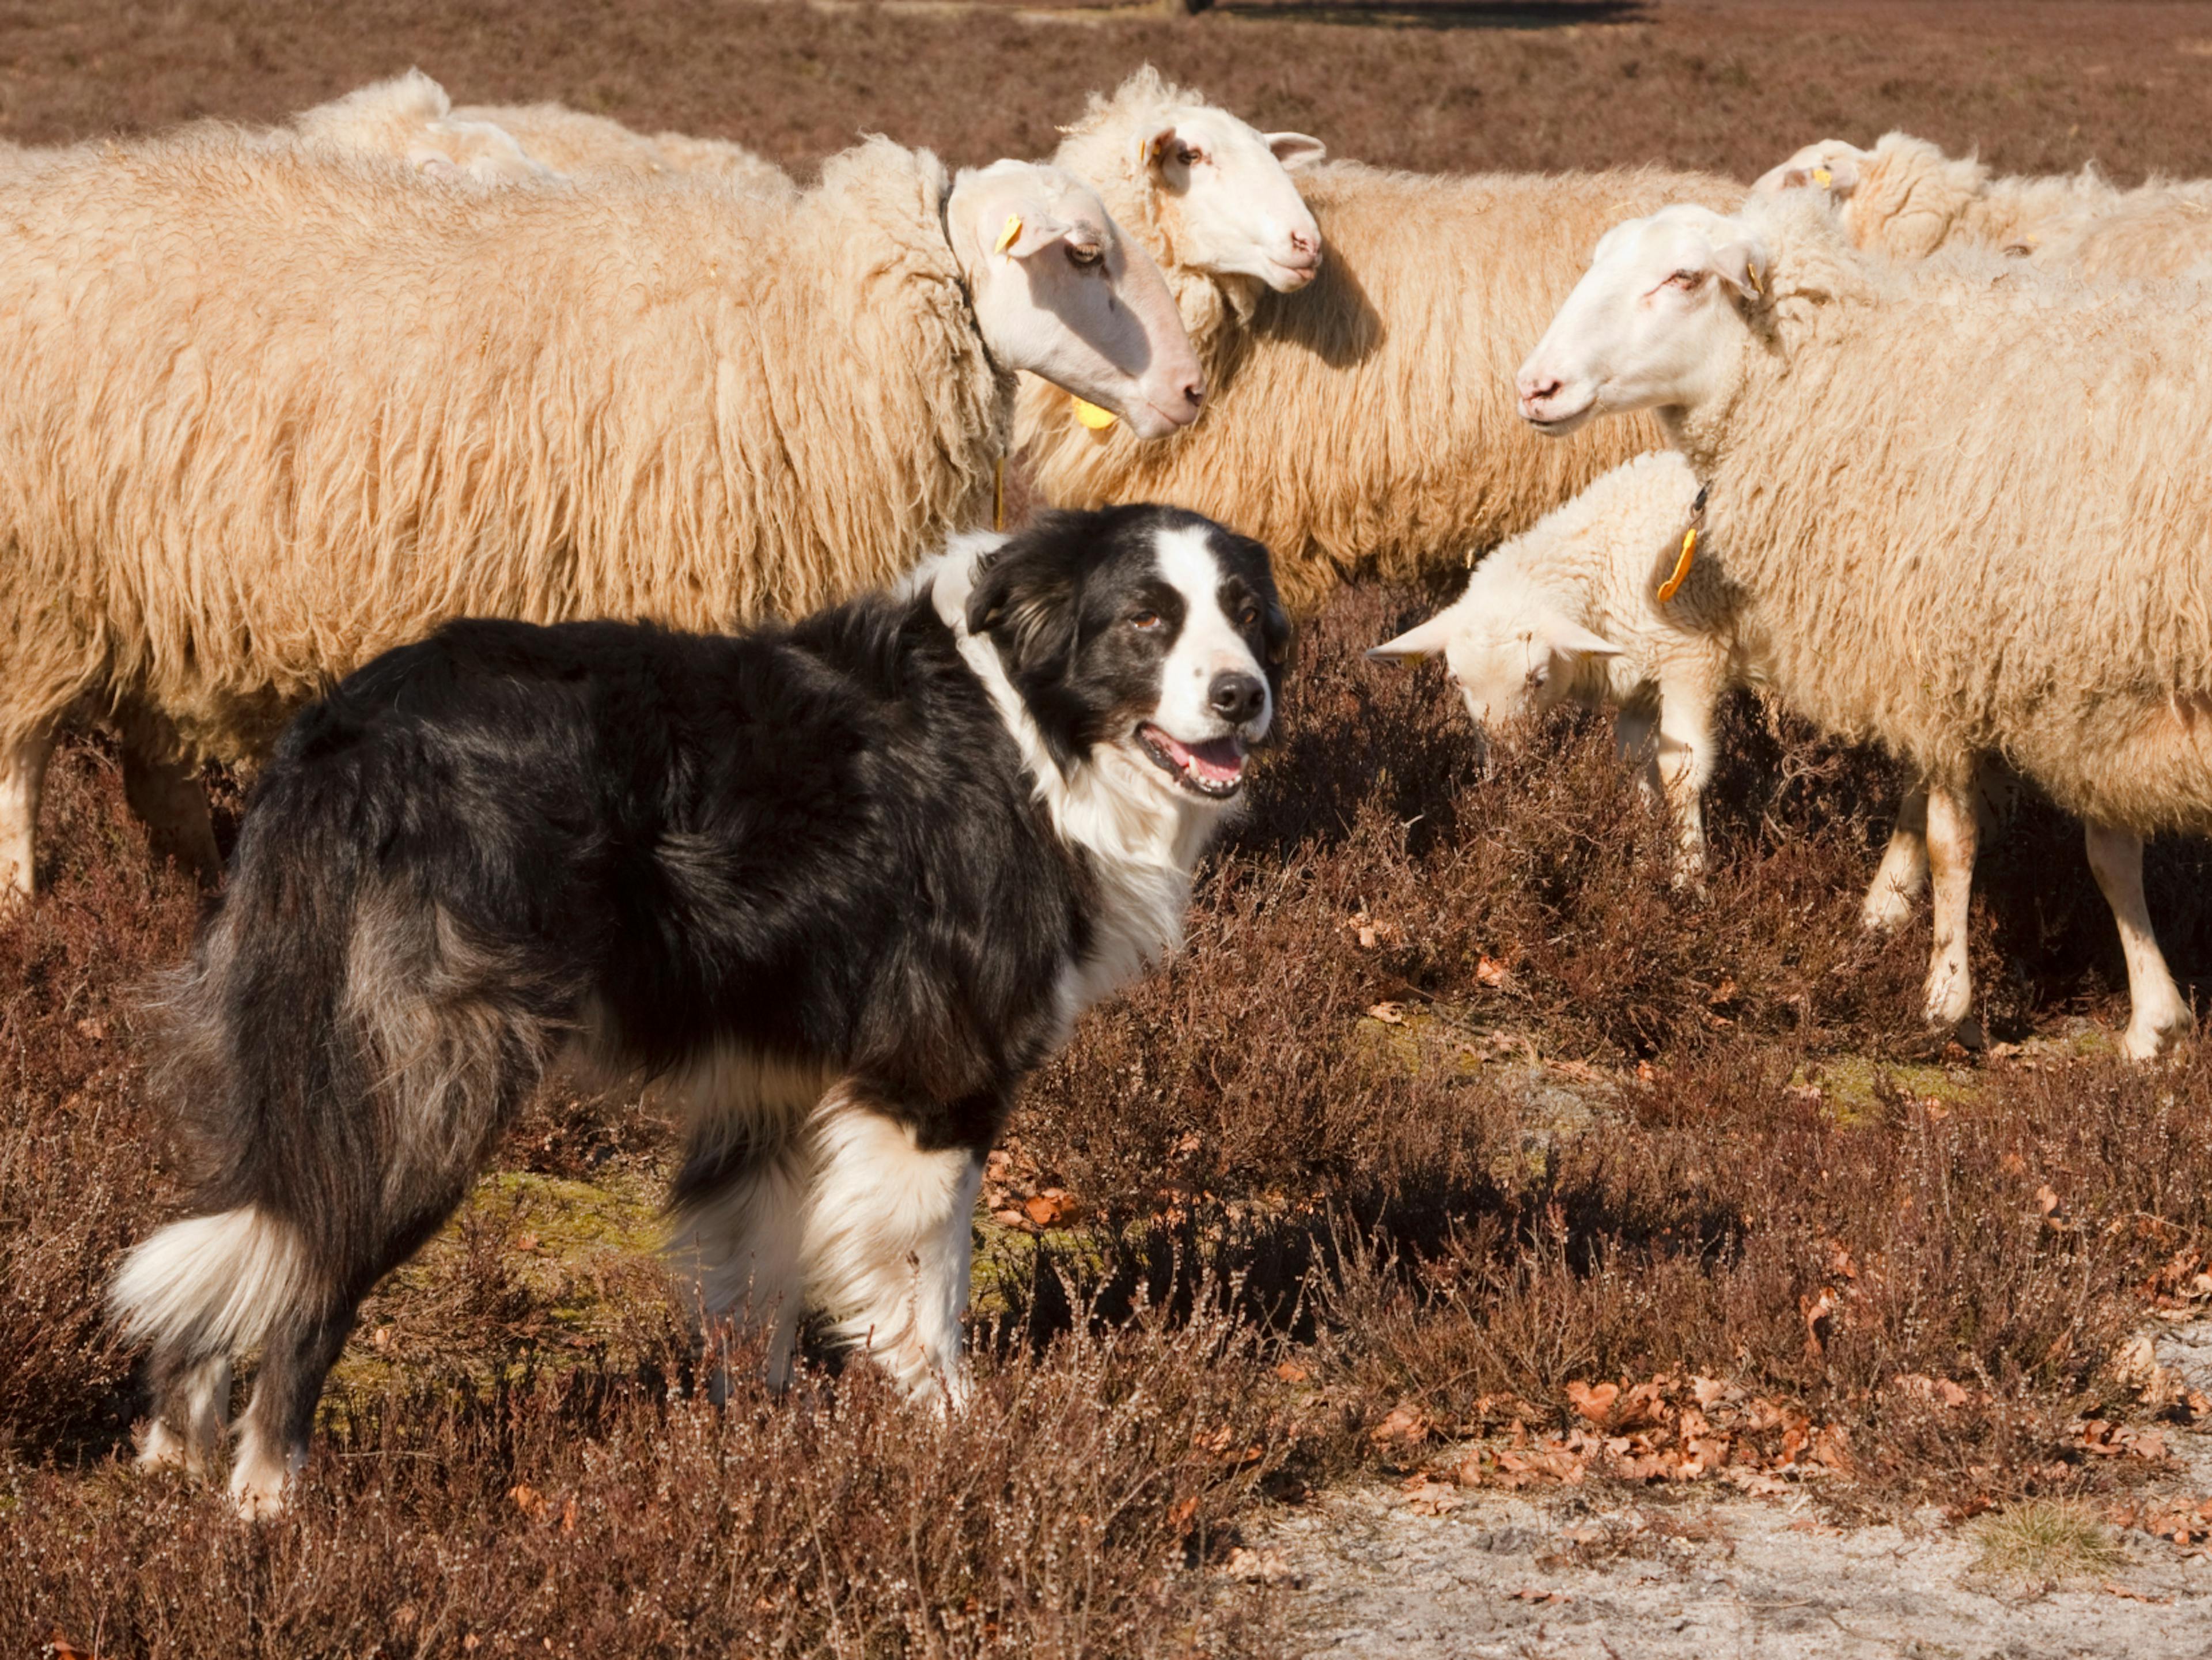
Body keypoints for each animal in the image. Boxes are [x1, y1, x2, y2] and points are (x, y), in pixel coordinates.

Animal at [0, 126, 1203, 912]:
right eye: (1085, 257)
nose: (1191, 392)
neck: (802, 324)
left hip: (136, 587)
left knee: (147, 761)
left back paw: (193, 879)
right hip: (33, 580)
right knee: (18, 758)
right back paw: (25, 908)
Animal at [112, 504, 1291, 1522]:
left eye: (1244, 611)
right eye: (1148, 619)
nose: (1244, 696)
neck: (1031, 734)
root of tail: (351, 736)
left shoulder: (769, 1082)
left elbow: (753, 1281)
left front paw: (758, 1447)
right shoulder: (933, 1077)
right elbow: (925, 1286)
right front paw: (969, 1439)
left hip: (288, 1042)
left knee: (232, 1244)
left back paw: (171, 1468)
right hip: (430, 1082)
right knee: (308, 1273)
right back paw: (270, 1501)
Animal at [1513, 191, 2212, 1053]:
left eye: (1684, 278)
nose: (1536, 387)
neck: (1866, 378)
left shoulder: (1980, 661)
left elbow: (1955, 839)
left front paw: (1946, 999)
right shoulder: (2078, 674)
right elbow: (2106, 850)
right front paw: (2154, 1021)